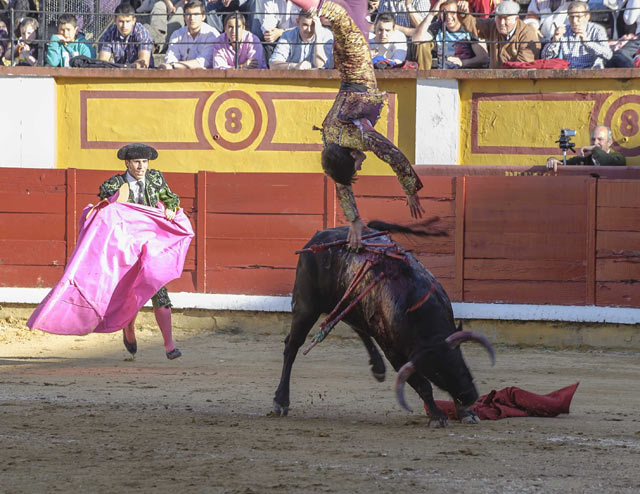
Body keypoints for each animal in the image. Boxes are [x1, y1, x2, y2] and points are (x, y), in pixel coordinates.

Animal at [272, 223, 492, 424]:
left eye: (460, 361)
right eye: (436, 372)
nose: (470, 396)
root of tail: (316, 237)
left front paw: (466, 413)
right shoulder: (395, 352)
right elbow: (422, 385)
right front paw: (438, 416)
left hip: (347, 302)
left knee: (356, 326)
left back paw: (378, 367)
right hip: (306, 307)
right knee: (292, 346)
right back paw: (280, 401)